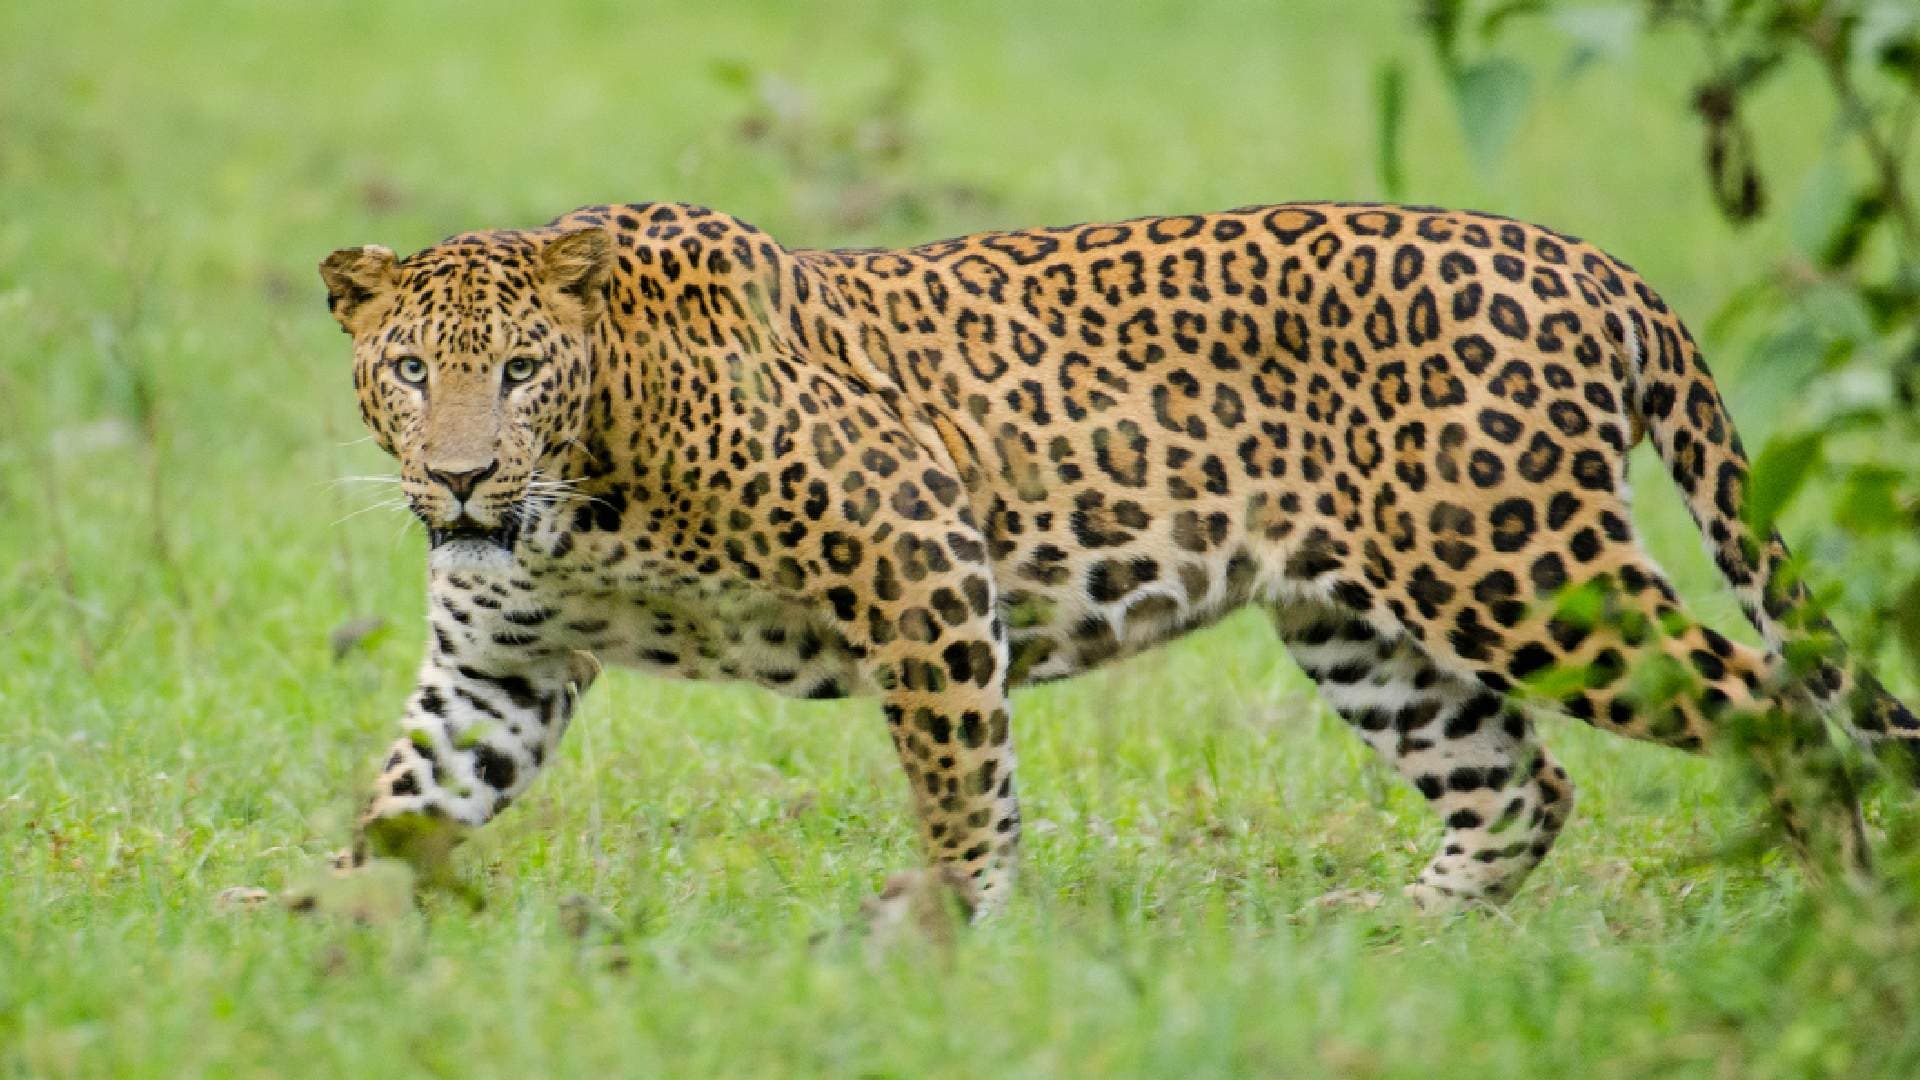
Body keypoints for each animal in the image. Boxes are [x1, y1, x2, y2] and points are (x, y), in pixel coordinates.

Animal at [318, 200, 1920, 916]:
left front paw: (948, 936)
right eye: (409, 370)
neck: (582, 494)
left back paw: (1844, 917)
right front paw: (311, 941)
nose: (459, 476)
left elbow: (960, 781)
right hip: (1362, 624)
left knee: (1777, 711)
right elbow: (406, 799)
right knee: (1520, 782)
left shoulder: (918, 551)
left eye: (521, 370)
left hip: (1516, 568)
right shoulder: (498, 666)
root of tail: (1595, 262)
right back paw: (1396, 938)